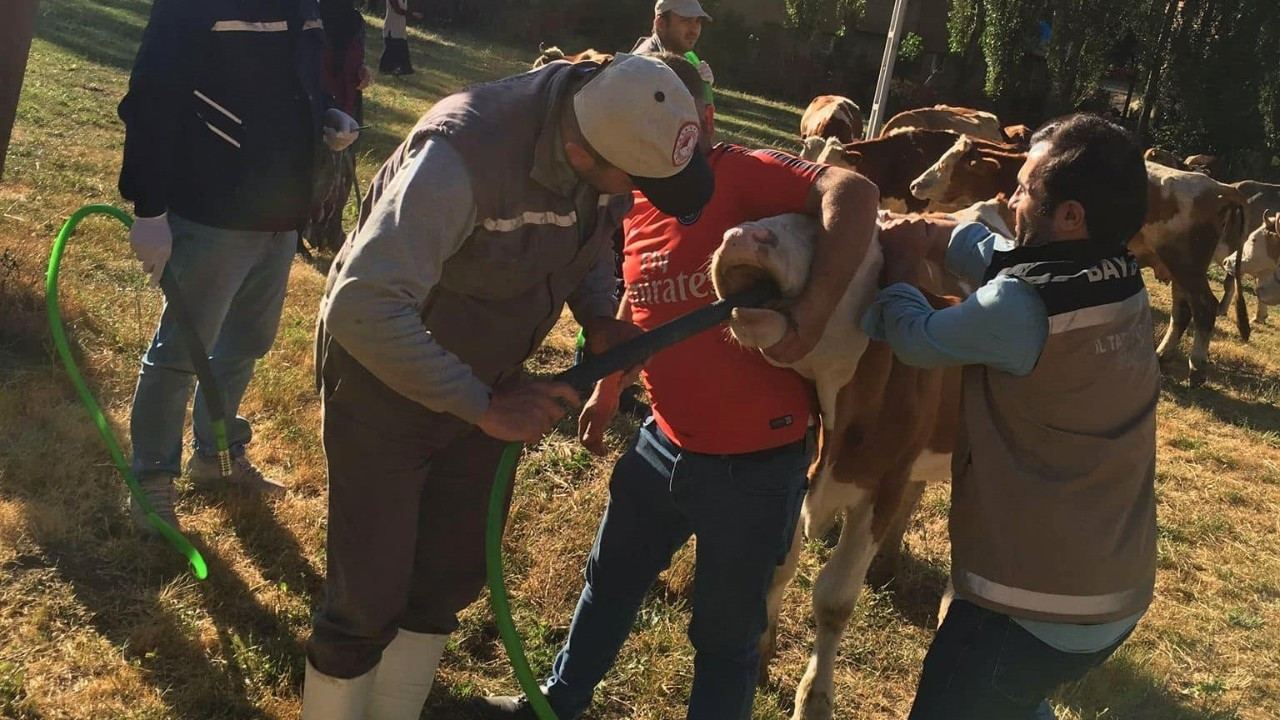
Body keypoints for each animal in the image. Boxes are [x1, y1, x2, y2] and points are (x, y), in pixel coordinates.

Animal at [711, 212, 967, 717]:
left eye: (837, 239)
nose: (742, 236)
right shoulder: (794, 476)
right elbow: (778, 568)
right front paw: (763, 654)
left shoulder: (883, 486)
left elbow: (834, 601)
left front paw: (814, 699)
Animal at [911, 132, 1249, 384]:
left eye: (952, 164)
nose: (915, 184)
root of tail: (1220, 188)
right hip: (1180, 269)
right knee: (1183, 312)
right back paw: (1163, 355)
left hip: (1187, 265)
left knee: (1204, 308)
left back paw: (1197, 367)